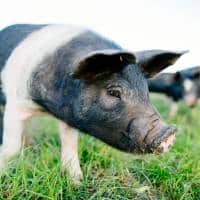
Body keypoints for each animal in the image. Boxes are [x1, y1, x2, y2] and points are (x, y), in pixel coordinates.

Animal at [0, 23, 184, 183]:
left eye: (146, 90)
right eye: (113, 92)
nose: (169, 132)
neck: (47, 108)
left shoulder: (69, 116)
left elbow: (70, 145)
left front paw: (77, 182)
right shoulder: (16, 104)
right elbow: (12, 145)